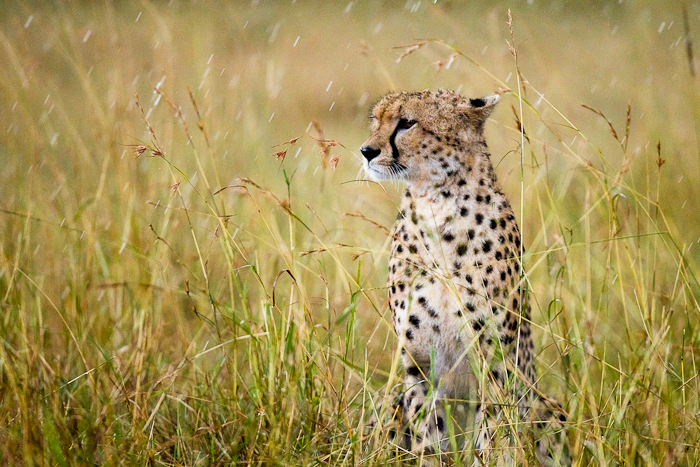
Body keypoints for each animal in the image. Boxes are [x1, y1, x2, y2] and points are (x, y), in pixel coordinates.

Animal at [360, 89, 568, 466]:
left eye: (407, 122)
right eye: (376, 120)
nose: (367, 151)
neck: (436, 203)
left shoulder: (495, 358)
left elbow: (494, 429)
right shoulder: (417, 360)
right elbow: (427, 430)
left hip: (547, 406)